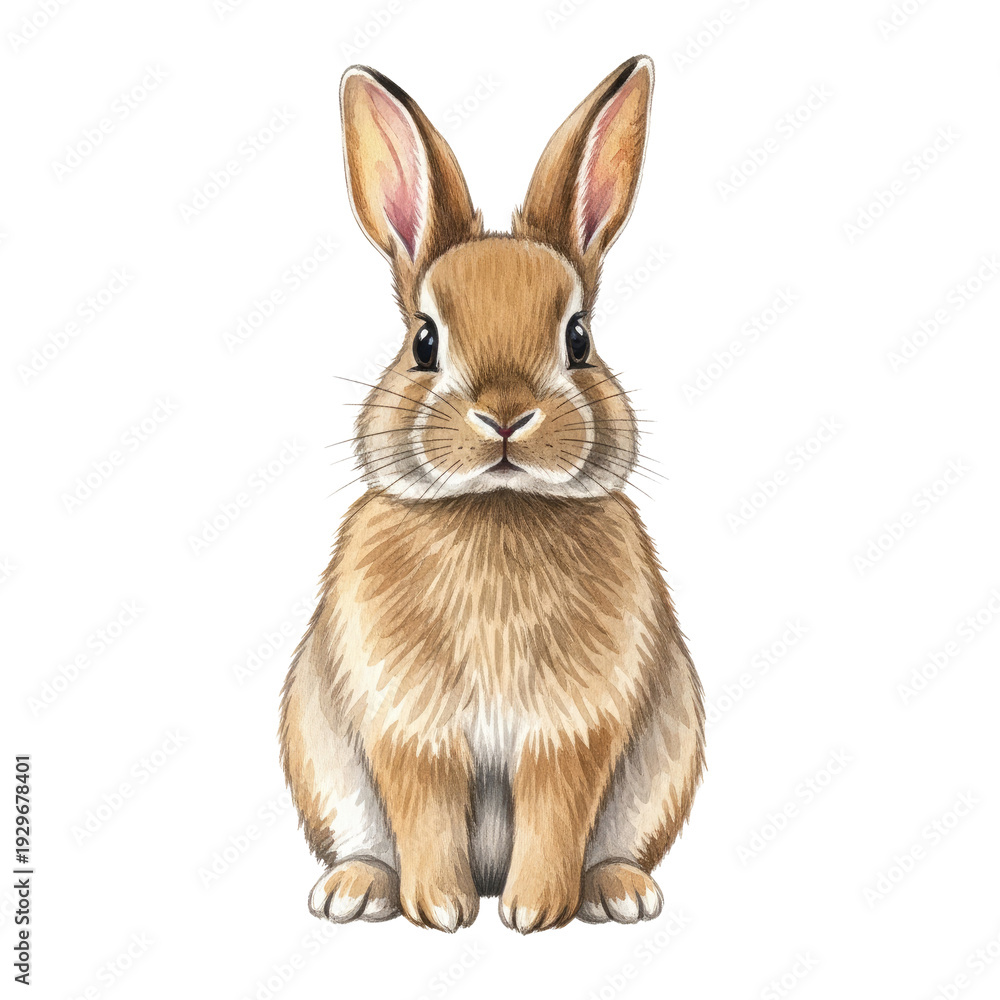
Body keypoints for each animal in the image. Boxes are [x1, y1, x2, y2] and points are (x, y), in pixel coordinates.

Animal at [279, 54, 704, 934]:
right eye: (423, 342)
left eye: (579, 339)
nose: (506, 416)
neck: (495, 510)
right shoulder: (408, 726)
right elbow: (426, 810)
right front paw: (442, 909)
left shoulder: (573, 728)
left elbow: (555, 809)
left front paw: (535, 910)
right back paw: (356, 891)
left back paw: (616, 891)